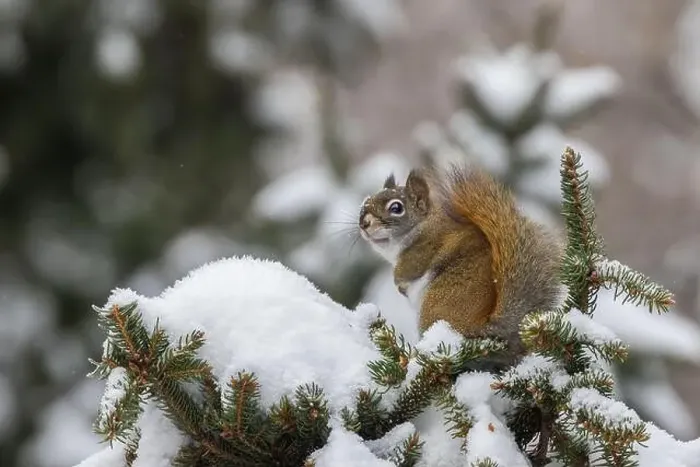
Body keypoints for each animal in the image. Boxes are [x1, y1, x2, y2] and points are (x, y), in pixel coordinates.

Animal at [358, 164, 563, 364]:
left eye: (396, 208)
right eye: (366, 202)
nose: (363, 223)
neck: (423, 225)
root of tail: (483, 327)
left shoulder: (424, 250)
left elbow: (407, 270)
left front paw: (398, 282)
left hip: (434, 307)